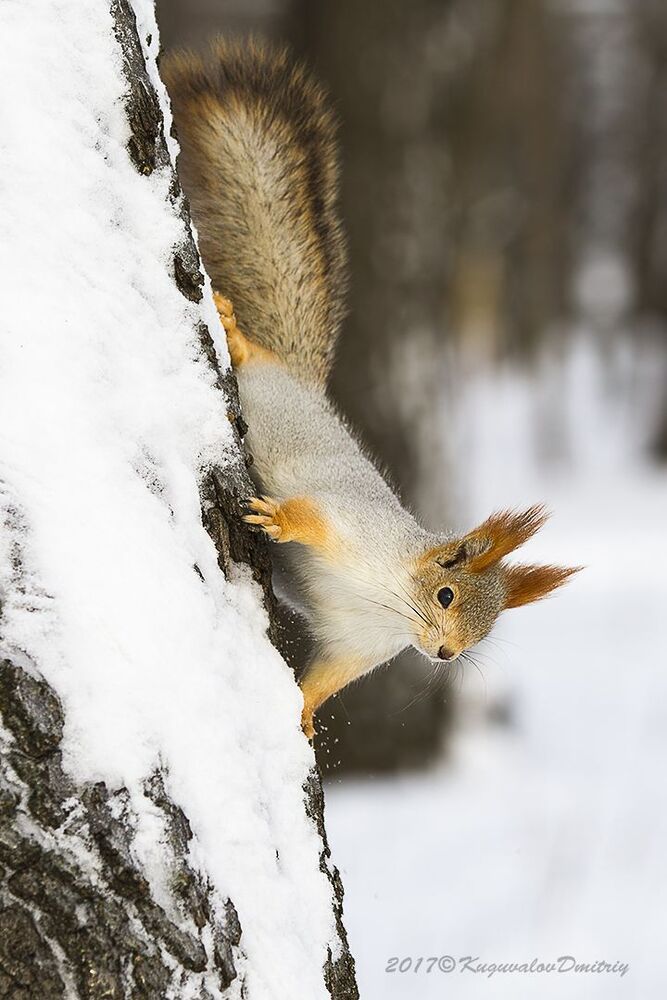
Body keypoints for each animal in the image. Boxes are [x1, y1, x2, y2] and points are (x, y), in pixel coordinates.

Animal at [162, 39, 579, 740]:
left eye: (484, 633)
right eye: (446, 593)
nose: (445, 653)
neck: (388, 604)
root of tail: (303, 382)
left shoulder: (356, 647)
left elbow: (324, 680)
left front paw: (302, 719)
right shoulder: (351, 527)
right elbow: (312, 516)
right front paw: (279, 518)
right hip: (267, 384)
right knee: (256, 358)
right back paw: (234, 330)